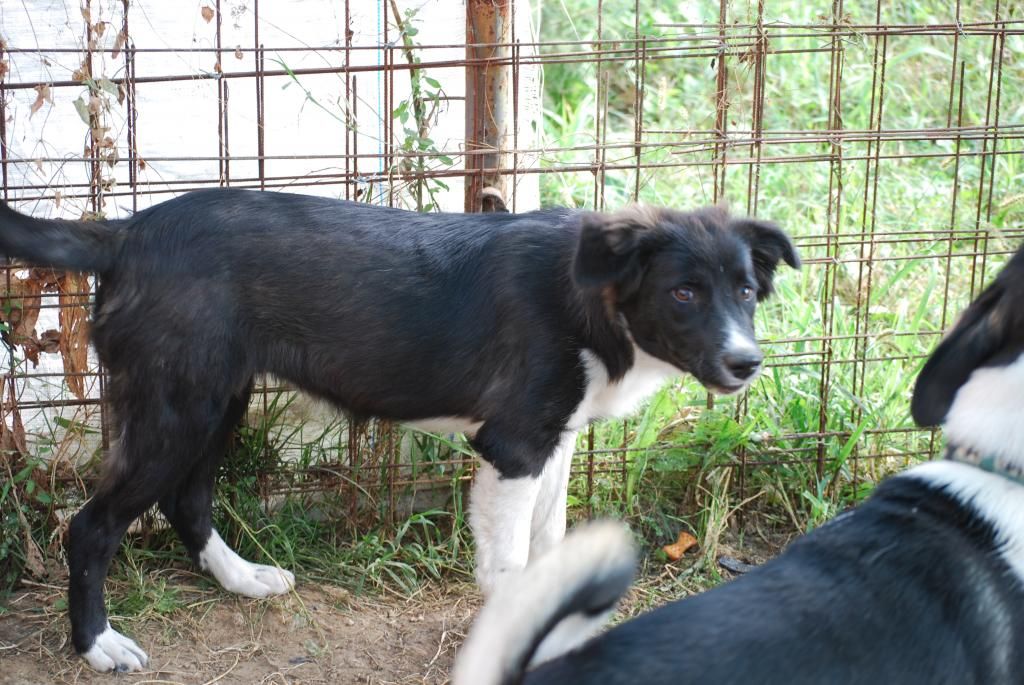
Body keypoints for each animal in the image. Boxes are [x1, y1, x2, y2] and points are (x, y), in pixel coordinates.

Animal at [0, 189, 798, 671]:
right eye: (684, 292)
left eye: (746, 290)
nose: (746, 363)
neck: (590, 290)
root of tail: (125, 232)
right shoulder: (514, 447)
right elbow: (513, 568)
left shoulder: (557, 441)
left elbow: (549, 551)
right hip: (176, 407)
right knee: (92, 527)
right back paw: (97, 644)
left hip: (214, 400)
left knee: (186, 499)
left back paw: (242, 578)